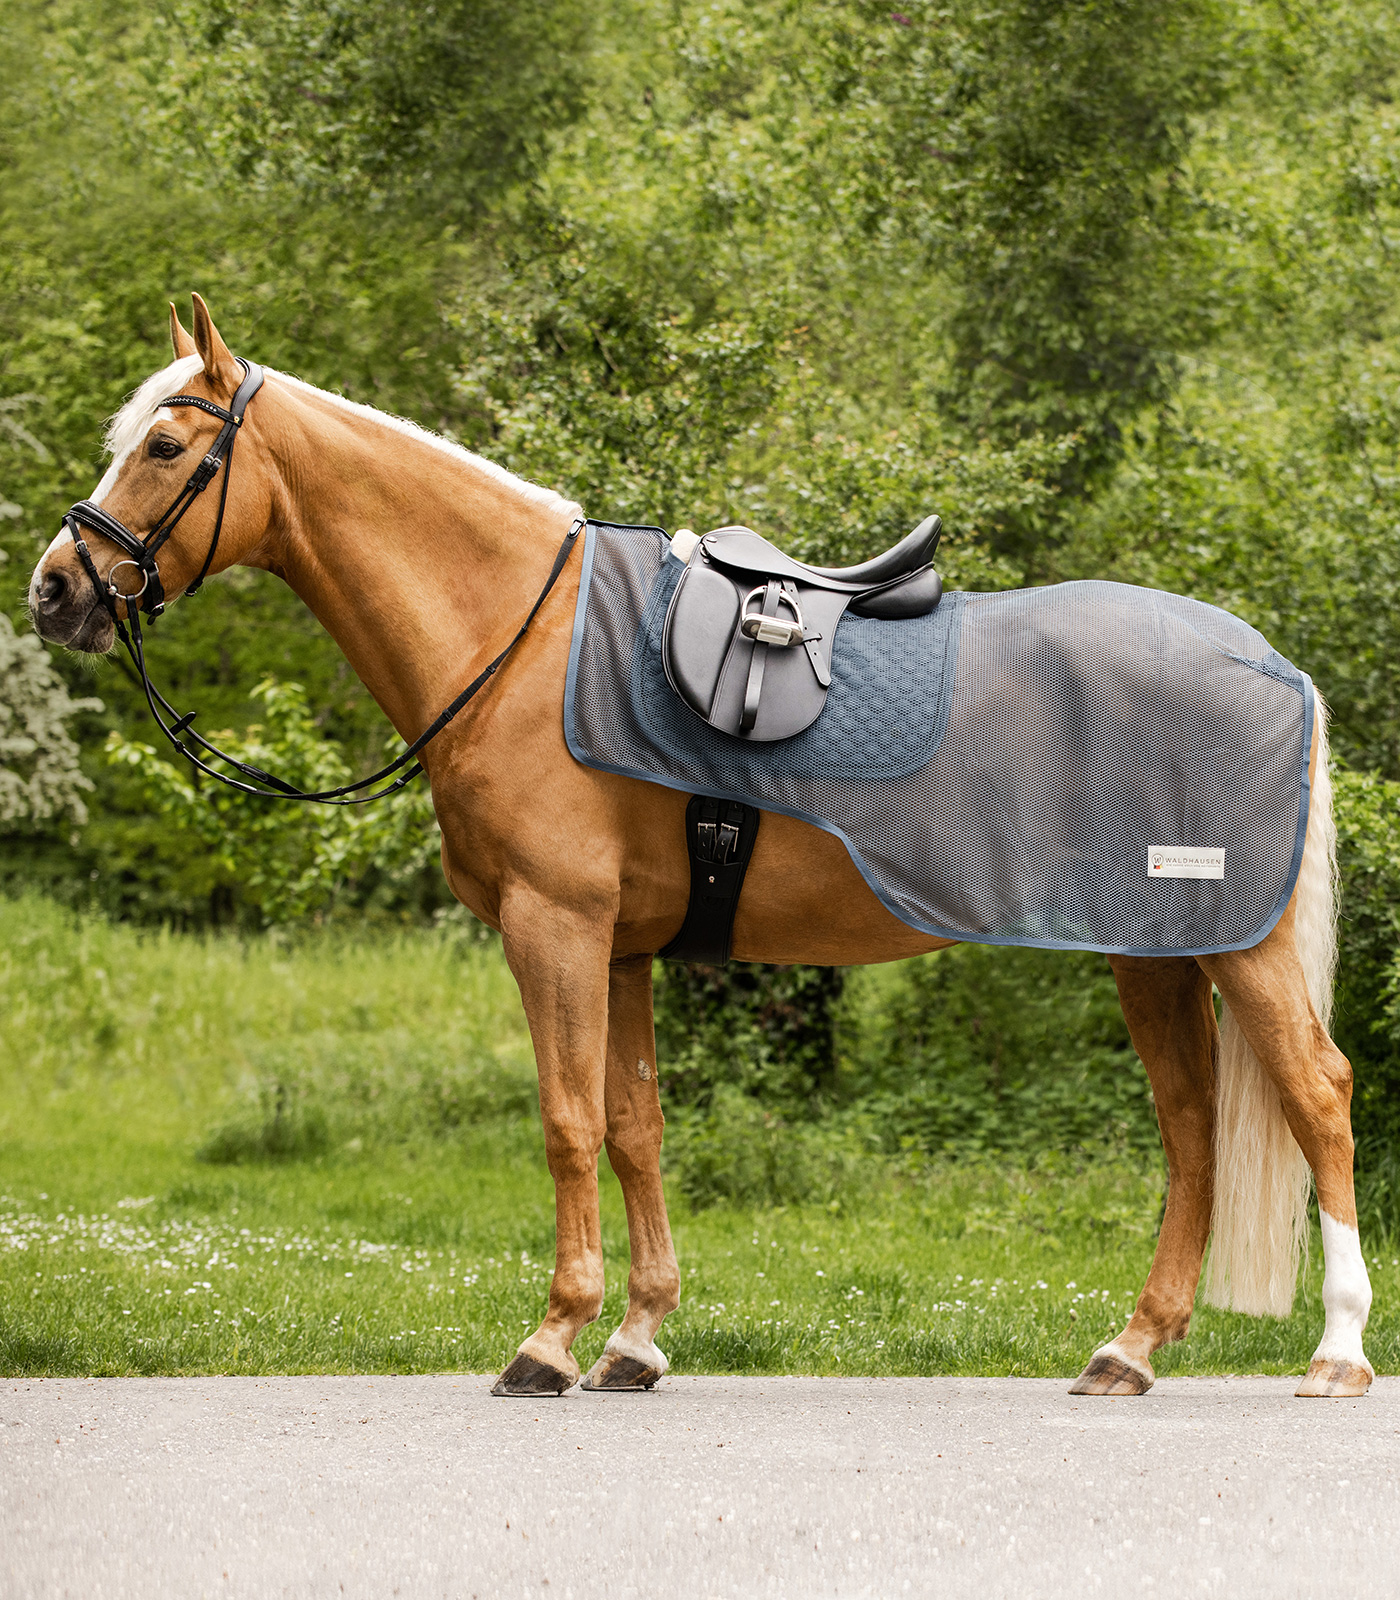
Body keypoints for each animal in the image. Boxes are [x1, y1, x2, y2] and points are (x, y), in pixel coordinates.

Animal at [27, 300, 1376, 1401]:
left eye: (164, 448)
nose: (55, 588)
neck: (521, 639)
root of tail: (1270, 663)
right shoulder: (619, 947)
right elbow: (633, 1125)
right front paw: (634, 1338)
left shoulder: (554, 926)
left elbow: (566, 1118)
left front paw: (551, 1338)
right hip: (1153, 950)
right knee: (1191, 1127)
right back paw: (1130, 1348)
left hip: (1233, 947)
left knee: (1315, 1097)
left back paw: (1335, 1350)